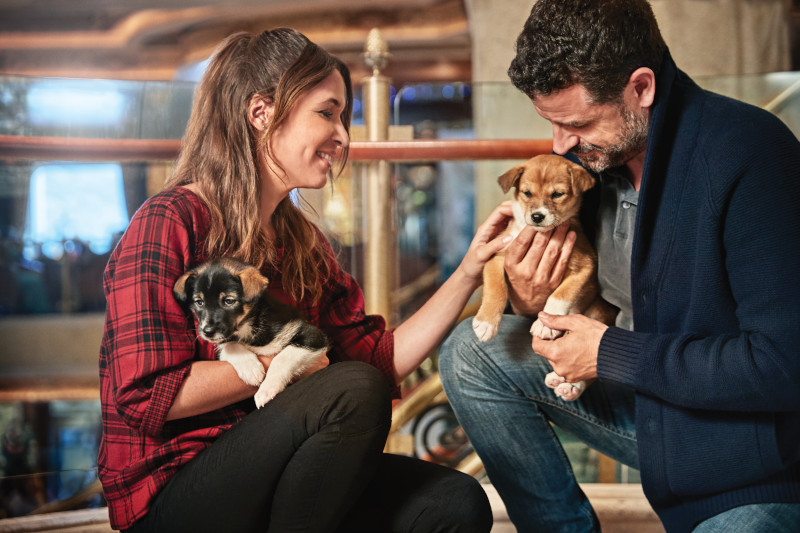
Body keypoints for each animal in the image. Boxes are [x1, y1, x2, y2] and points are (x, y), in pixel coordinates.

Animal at [173, 256, 328, 406]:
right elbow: (229, 345)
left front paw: (267, 389)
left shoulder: (313, 335)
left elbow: (282, 358)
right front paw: (250, 368)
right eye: (199, 302)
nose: (208, 332)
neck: (246, 326)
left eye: (229, 300)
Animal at [472, 154, 616, 400]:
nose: (537, 216)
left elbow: (559, 295)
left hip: (596, 312)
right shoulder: (497, 256)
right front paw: (486, 323)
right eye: (527, 193)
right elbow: (496, 289)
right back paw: (562, 381)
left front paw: (545, 324)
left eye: (557, 194)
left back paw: (570, 385)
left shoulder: (584, 265)